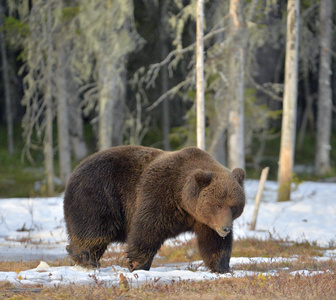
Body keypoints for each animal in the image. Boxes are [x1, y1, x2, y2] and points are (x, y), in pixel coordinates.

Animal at [63, 146, 244, 274]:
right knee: (94, 232)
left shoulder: (204, 220)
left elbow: (214, 243)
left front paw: (222, 267)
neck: (183, 201)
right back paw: (85, 261)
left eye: (233, 206)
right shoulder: (160, 195)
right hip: (98, 195)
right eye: (217, 205)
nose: (226, 228)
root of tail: (75, 170)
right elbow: (147, 230)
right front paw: (137, 264)